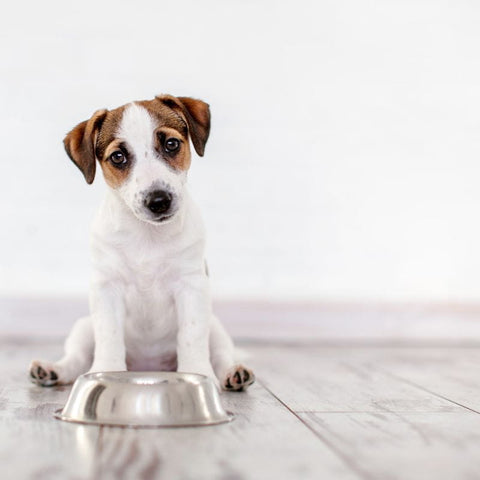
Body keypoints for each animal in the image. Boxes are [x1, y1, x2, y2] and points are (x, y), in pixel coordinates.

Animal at [29, 95, 255, 392]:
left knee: (221, 355)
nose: (158, 201)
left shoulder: (192, 287)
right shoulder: (106, 289)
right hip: (83, 328)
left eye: (171, 144)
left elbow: (192, 336)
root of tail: (148, 367)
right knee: (76, 358)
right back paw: (52, 370)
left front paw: (198, 374)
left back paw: (234, 373)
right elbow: (110, 336)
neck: (147, 235)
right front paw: (106, 372)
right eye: (118, 157)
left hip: (216, 328)